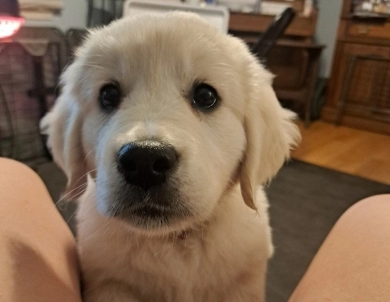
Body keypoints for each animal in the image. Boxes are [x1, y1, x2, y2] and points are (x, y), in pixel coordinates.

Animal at [42, 11, 298, 300]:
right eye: (108, 95)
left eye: (206, 96)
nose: (144, 161)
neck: (171, 239)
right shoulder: (110, 284)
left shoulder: (242, 285)